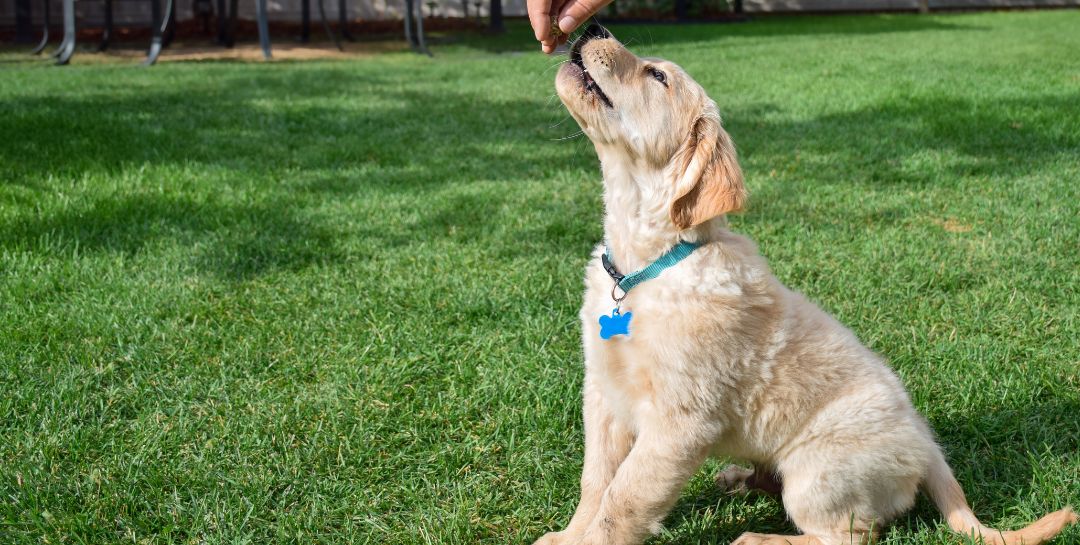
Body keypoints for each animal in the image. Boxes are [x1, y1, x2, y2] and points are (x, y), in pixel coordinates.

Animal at [540, 23, 1080, 543]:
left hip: (816, 472)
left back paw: (759, 539)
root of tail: (930, 449)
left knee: (850, 534)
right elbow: (597, 482)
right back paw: (739, 479)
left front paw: (588, 540)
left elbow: (624, 500)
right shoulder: (603, 393)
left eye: (657, 76)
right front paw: (569, 535)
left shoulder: (681, 420)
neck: (646, 264)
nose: (592, 28)